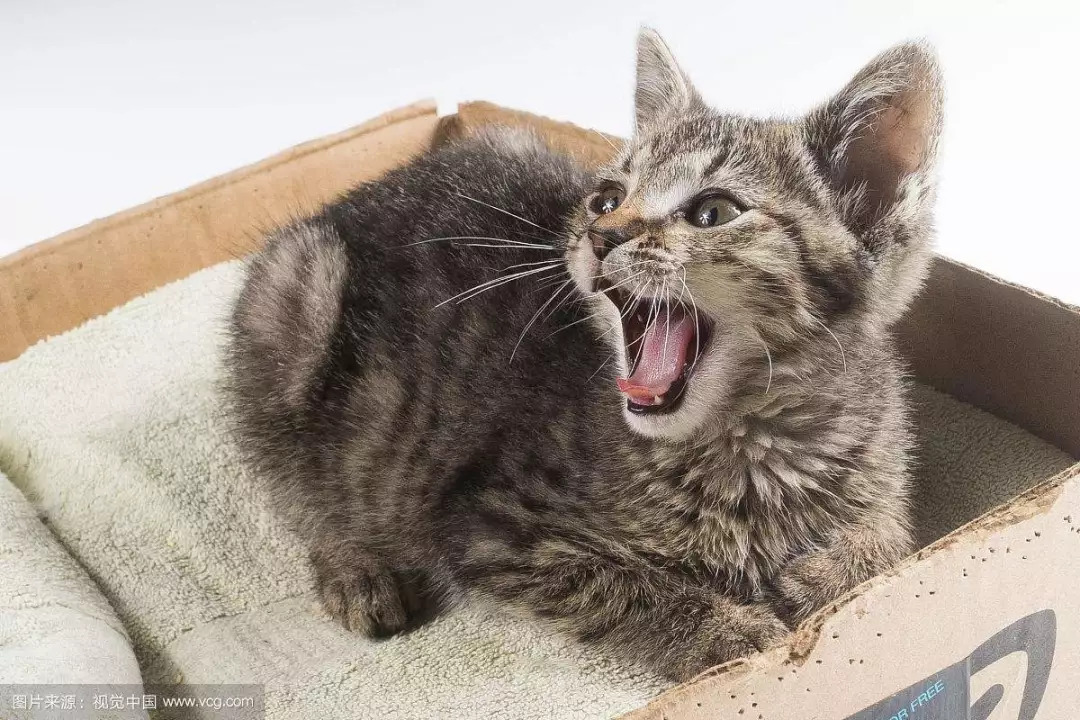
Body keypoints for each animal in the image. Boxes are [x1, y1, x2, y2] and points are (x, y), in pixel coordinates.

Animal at [230, 29, 946, 682]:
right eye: (606, 199)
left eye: (713, 212)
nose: (601, 235)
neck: (756, 442)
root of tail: (360, 193)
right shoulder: (491, 524)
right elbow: (622, 587)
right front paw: (729, 633)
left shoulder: (886, 456)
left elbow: (893, 536)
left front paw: (829, 571)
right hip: (297, 291)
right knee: (292, 478)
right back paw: (354, 565)